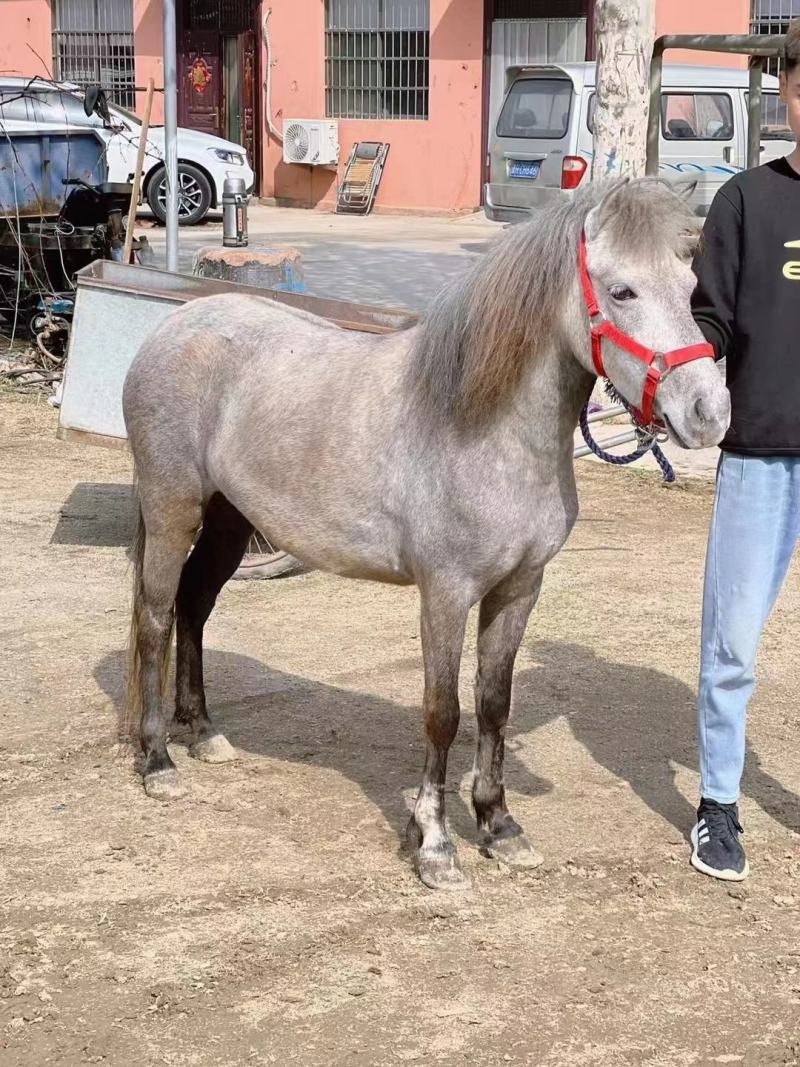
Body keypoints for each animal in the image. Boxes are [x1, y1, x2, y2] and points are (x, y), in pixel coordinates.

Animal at [122, 178, 730, 891]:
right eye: (622, 291)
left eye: (689, 286)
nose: (709, 413)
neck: (480, 425)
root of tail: (173, 327)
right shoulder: (445, 593)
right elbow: (444, 712)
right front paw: (436, 844)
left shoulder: (519, 589)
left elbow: (493, 703)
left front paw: (499, 826)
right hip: (173, 511)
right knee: (156, 620)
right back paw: (159, 761)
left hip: (230, 520)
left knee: (193, 608)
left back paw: (204, 734)